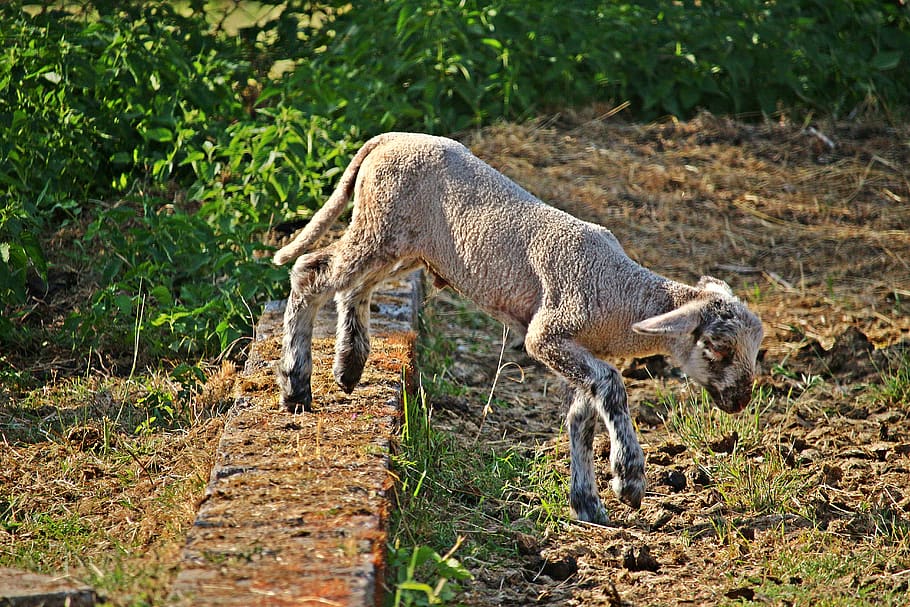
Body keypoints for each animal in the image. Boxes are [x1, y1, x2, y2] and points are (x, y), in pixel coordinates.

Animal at [273, 132, 763, 523]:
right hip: (381, 225)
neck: (620, 296)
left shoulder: (581, 352)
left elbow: (582, 418)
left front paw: (587, 505)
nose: (741, 401)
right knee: (310, 272)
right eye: (717, 348)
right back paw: (297, 385)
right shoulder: (548, 334)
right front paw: (629, 479)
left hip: (406, 247)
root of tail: (388, 138)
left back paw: (348, 366)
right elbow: (612, 387)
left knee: (352, 288)